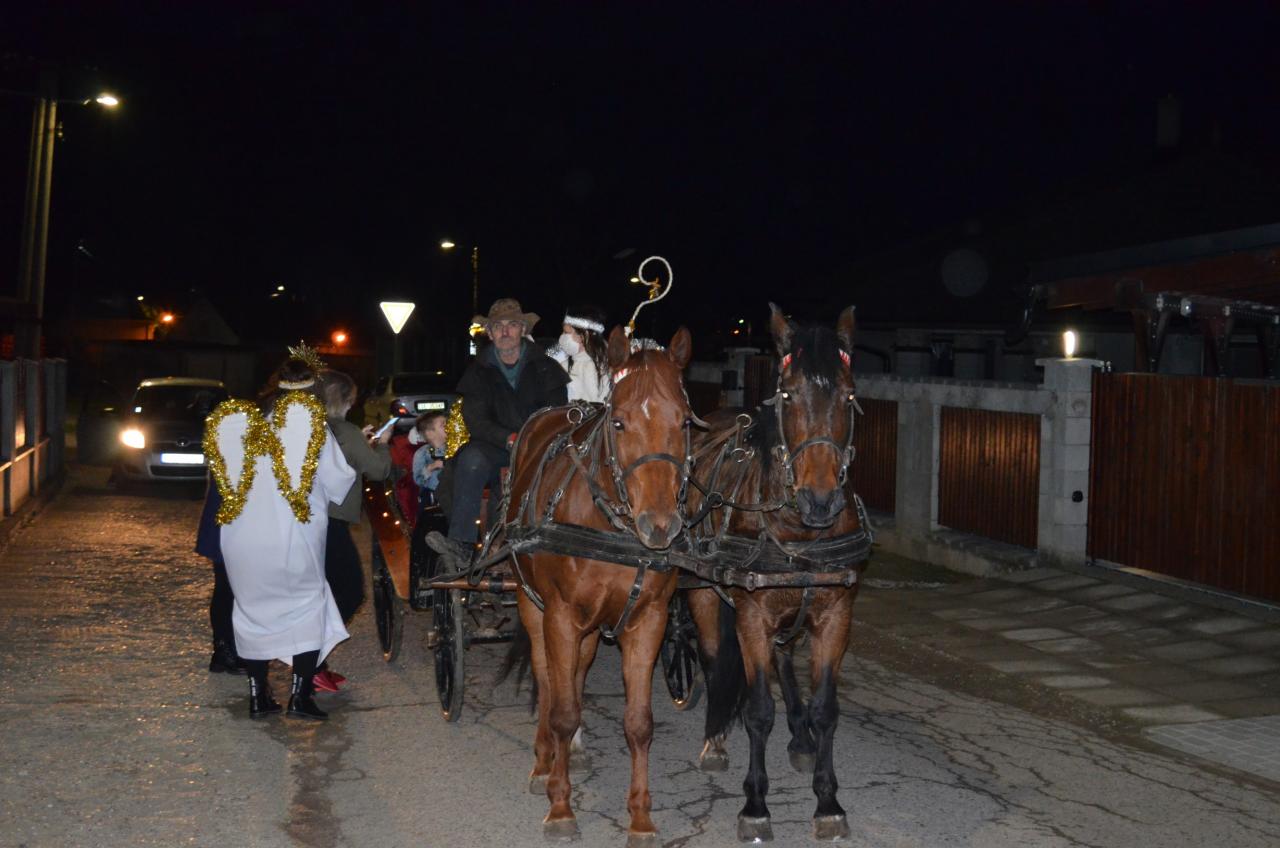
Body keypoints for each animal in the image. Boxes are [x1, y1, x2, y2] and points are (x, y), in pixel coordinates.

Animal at [503, 325, 695, 845]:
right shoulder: (560, 615)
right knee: (548, 679)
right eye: (621, 423)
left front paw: (641, 817)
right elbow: (561, 708)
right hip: (533, 605)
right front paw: (560, 806)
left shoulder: (648, 620)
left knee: (575, 673)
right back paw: (544, 763)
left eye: (683, 423)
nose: (660, 526)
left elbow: (639, 723)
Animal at [685, 303, 867, 843]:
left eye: (850, 395)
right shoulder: (751, 616)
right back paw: (715, 740)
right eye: (787, 394)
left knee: (784, 656)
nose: (821, 499)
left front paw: (827, 800)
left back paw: (800, 738)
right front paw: (755, 804)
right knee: (712, 659)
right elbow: (758, 710)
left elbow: (827, 708)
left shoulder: (835, 614)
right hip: (703, 591)